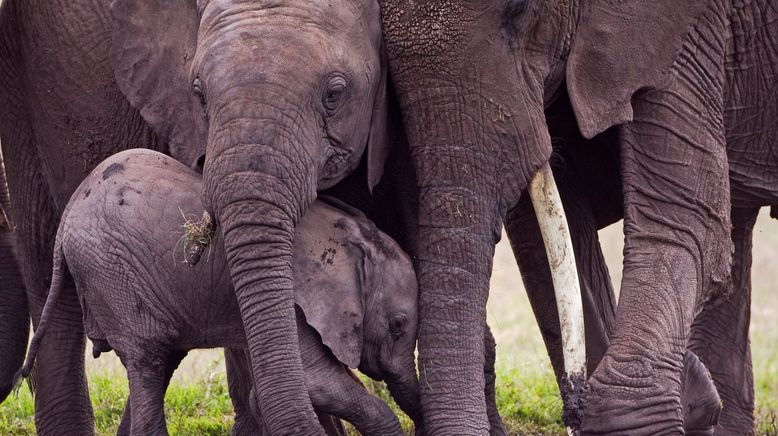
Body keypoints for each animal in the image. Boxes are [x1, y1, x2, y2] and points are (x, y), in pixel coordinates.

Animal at [18, 151, 422, 436]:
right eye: (398, 325)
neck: (348, 236)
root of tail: (66, 219)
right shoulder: (295, 306)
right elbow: (318, 382)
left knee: (160, 363)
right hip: (111, 274)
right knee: (148, 362)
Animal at [378, 0, 772, 432]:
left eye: (523, 11)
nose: (574, 403)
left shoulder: (684, 29)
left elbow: (685, 218)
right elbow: (541, 234)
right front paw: (691, 395)